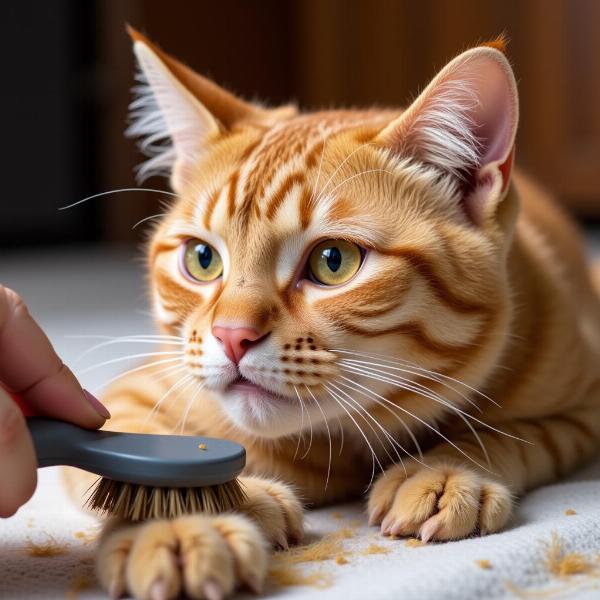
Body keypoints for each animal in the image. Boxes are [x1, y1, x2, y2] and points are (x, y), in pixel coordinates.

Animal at [65, 31, 600, 600]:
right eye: (202, 259)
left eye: (333, 261)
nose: (232, 336)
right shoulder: (134, 396)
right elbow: (143, 460)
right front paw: (184, 526)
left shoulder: (583, 406)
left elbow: (514, 434)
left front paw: (447, 471)